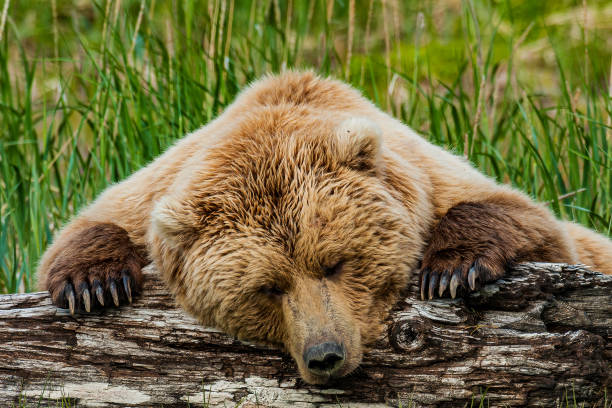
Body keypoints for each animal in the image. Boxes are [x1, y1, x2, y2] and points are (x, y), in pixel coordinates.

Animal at [37, 71, 612, 386]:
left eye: (335, 263)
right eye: (267, 288)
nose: (326, 355)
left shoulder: (430, 176)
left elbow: (526, 218)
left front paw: (454, 268)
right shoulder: (152, 193)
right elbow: (88, 226)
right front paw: (94, 283)